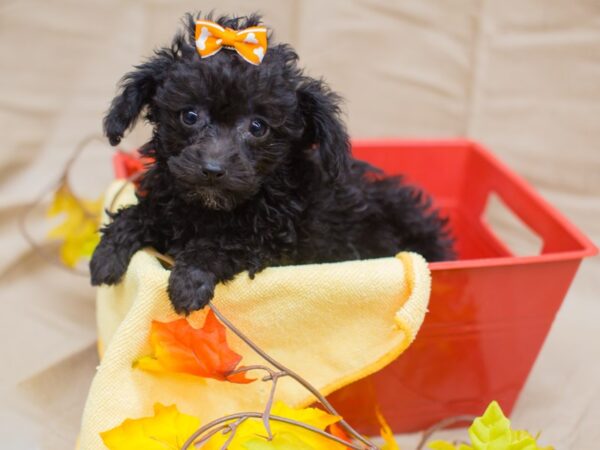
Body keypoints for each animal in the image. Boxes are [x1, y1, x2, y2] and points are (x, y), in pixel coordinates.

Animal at [91, 11, 452, 312]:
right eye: (189, 116)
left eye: (257, 127)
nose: (212, 170)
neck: (213, 211)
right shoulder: (170, 200)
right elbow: (141, 214)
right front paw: (106, 255)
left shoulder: (276, 245)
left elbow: (225, 244)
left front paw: (188, 282)